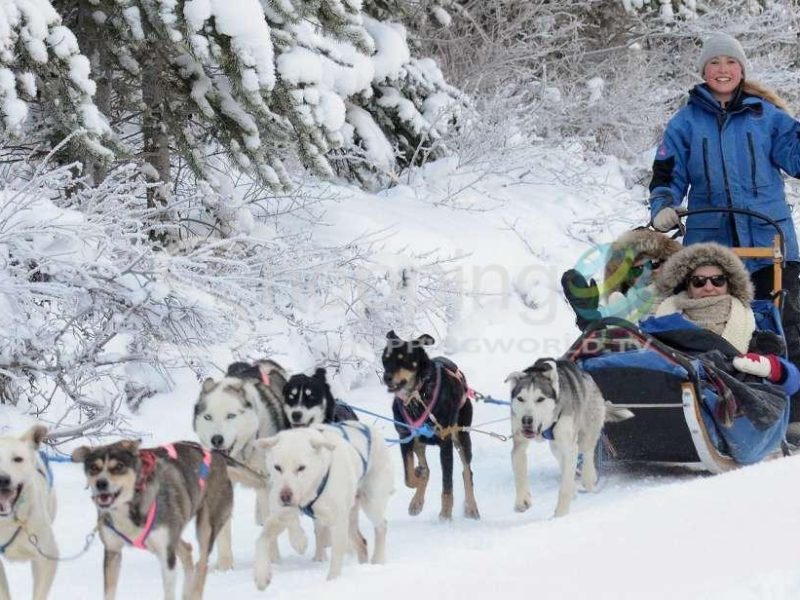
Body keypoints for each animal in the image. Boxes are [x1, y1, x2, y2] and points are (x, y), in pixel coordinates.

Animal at [255, 424, 392, 588]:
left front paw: (333, 580)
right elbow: (265, 536)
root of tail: (368, 428)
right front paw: (263, 574)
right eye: (277, 467)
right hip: (349, 518)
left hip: (371, 503)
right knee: (361, 542)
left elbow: (337, 556)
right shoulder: (279, 510)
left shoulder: (338, 523)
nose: (285, 496)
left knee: (382, 526)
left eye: (301, 468)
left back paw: (378, 560)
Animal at [382, 330, 482, 516]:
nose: (387, 377)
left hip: (462, 438)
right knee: (426, 468)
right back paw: (417, 499)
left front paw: (445, 515)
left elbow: (447, 484)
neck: (417, 396)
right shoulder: (405, 438)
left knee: (467, 472)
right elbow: (409, 478)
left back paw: (471, 507)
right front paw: (417, 477)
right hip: (418, 442)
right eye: (385, 359)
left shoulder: (445, 444)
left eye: (403, 359)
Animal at [506, 358, 632, 516]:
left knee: (587, 451)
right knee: (564, 461)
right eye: (520, 399)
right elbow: (520, 474)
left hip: (585, 433)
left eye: (540, 399)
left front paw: (561, 514)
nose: (526, 420)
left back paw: (588, 477)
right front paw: (522, 500)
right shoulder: (519, 445)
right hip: (556, 446)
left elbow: (564, 487)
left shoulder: (569, 446)